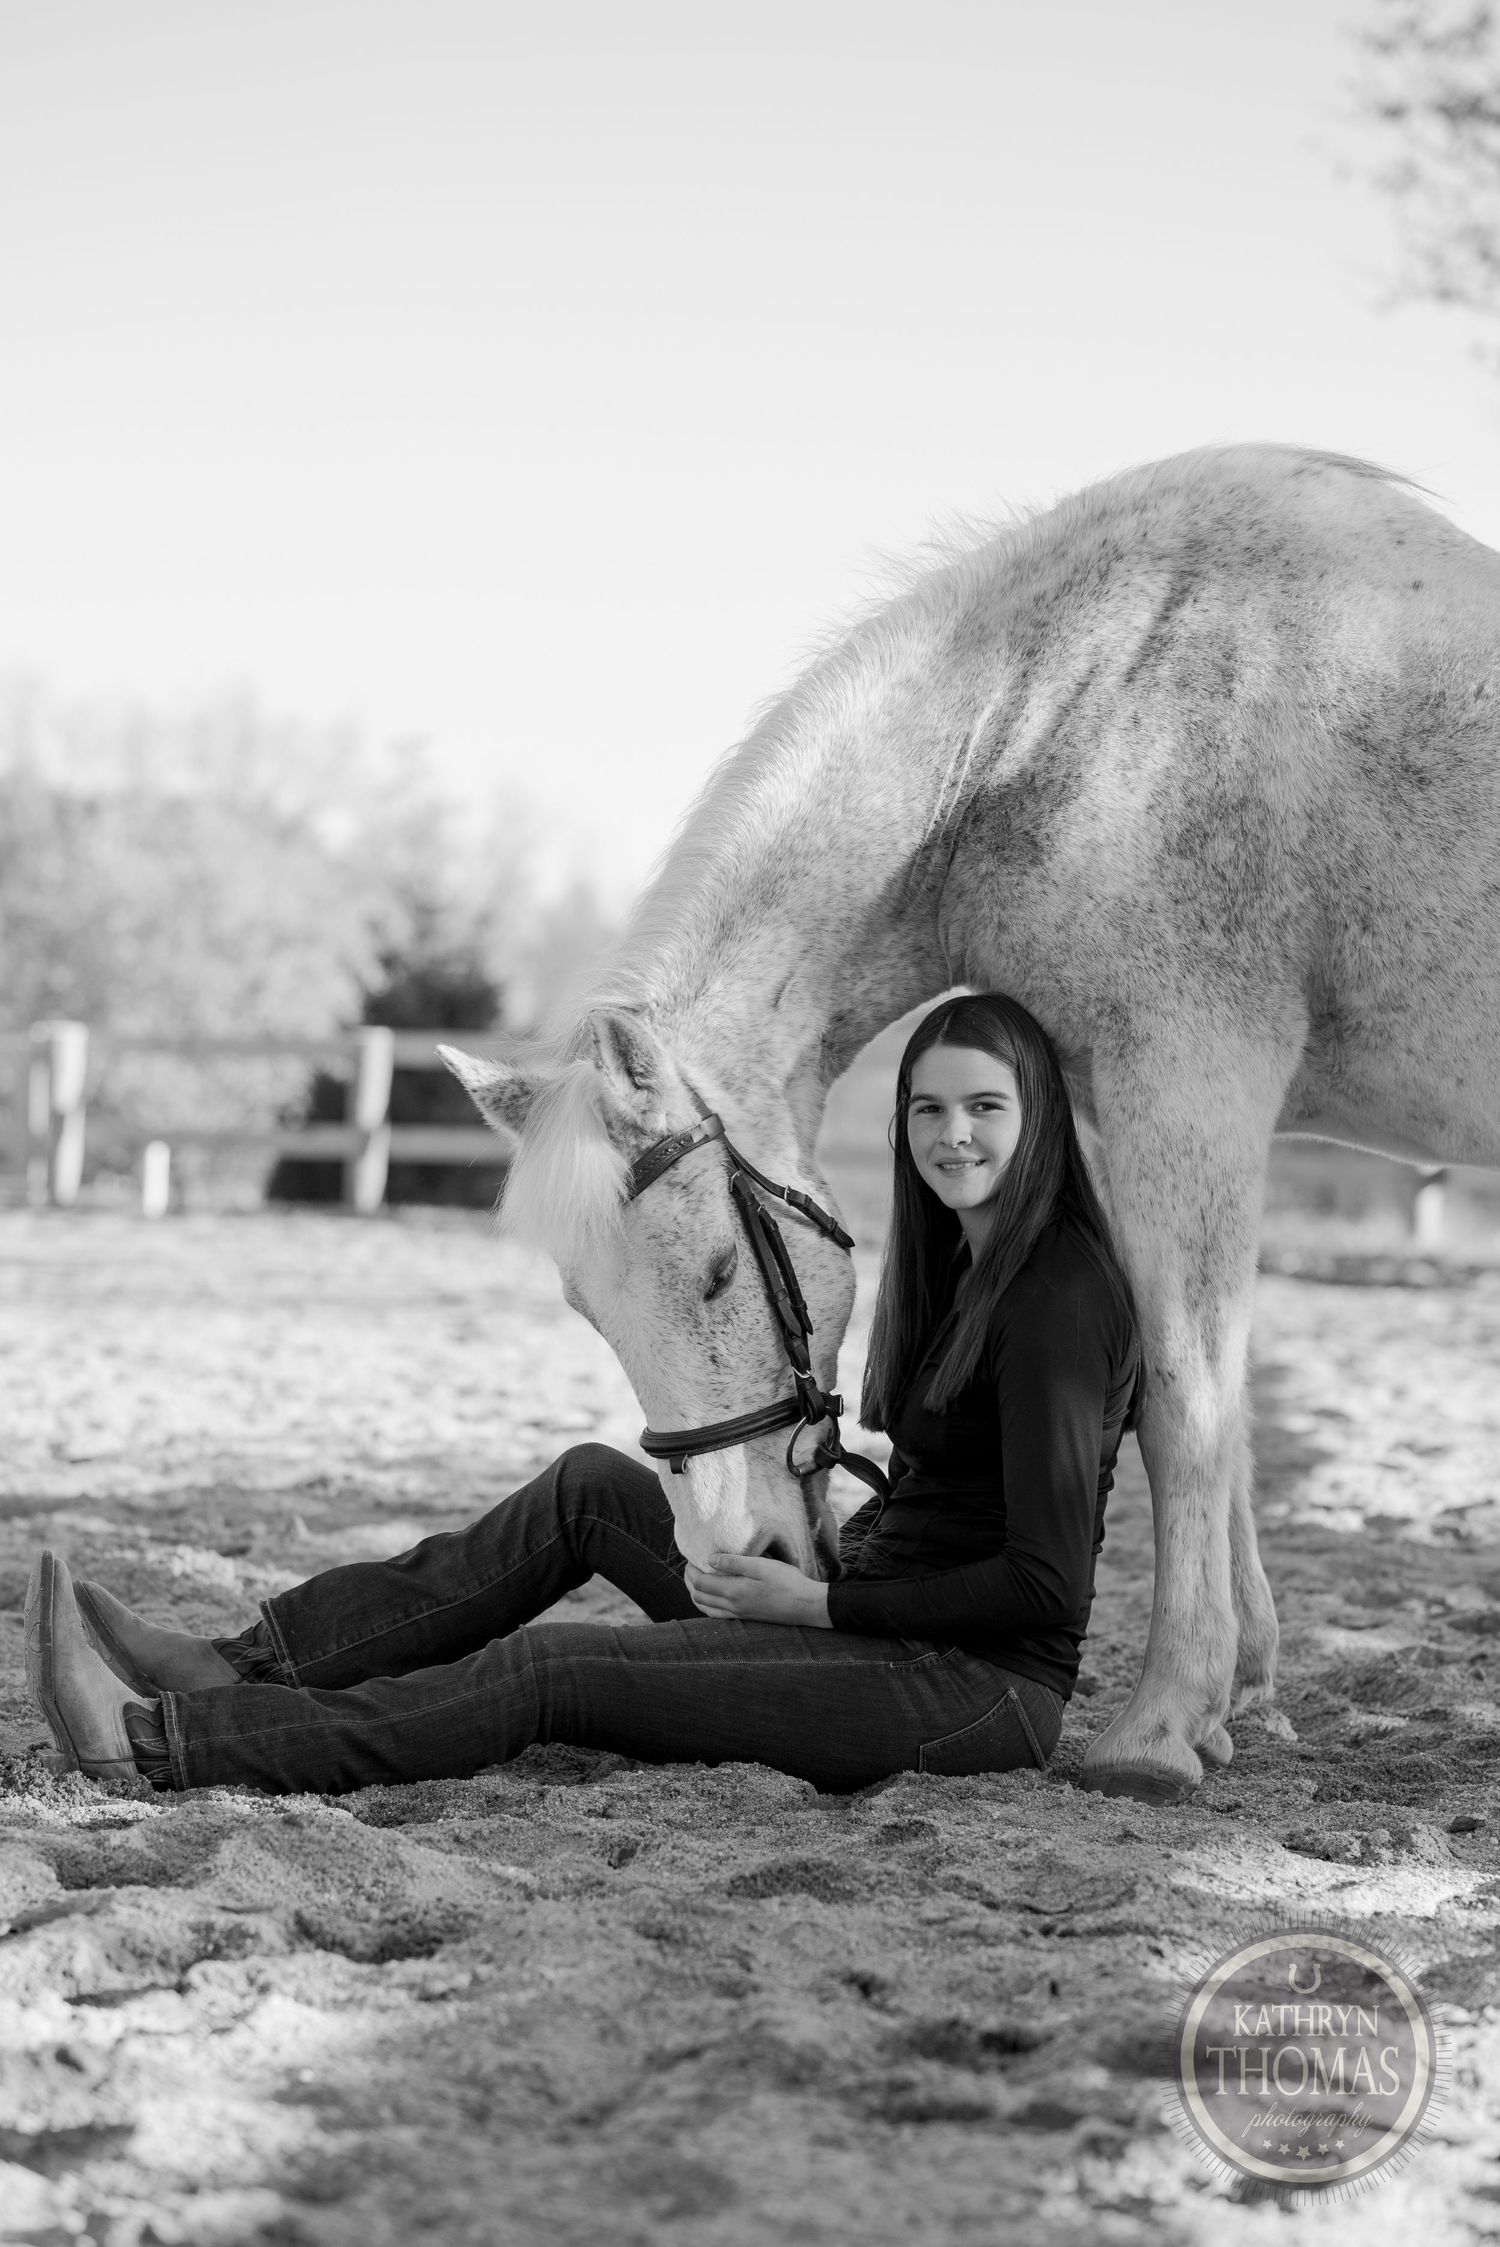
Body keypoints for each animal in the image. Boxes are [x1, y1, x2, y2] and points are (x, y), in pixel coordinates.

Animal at [444, 443, 1500, 1806]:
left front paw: (1161, 1727)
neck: (1085, 711)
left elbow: (1186, 1409)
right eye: (587, 1308)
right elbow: (1221, 1413)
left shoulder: (1187, 1087)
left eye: (722, 1271)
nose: (733, 1549)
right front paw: (1241, 1698)